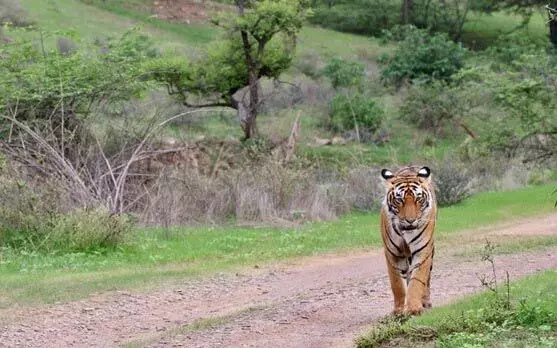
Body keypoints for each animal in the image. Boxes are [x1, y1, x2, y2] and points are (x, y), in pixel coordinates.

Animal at [380, 166, 436, 316]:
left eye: (419, 199)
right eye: (399, 200)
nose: (410, 220)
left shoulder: (423, 251)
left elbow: (417, 280)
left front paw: (413, 309)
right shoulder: (392, 254)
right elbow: (397, 284)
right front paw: (399, 310)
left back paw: (425, 302)